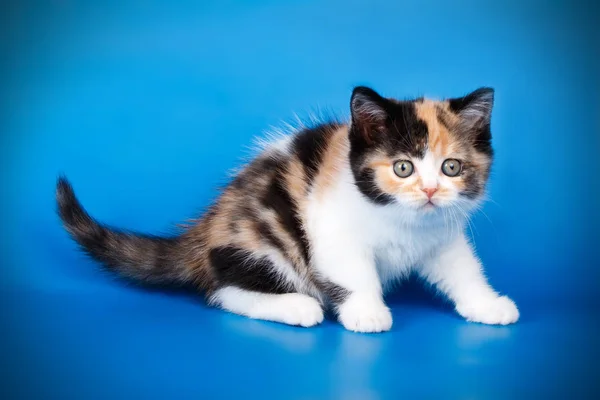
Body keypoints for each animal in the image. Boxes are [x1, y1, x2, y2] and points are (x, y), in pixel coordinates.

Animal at [58, 86, 524, 332]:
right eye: (403, 167)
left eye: (451, 167)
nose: (429, 191)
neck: (403, 219)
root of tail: (205, 230)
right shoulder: (331, 228)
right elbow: (356, 274)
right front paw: (367, 312)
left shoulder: (441, 235)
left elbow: (463, 269)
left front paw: (487, 304)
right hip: (264, 236)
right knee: (222, 291)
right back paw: (297, 307)